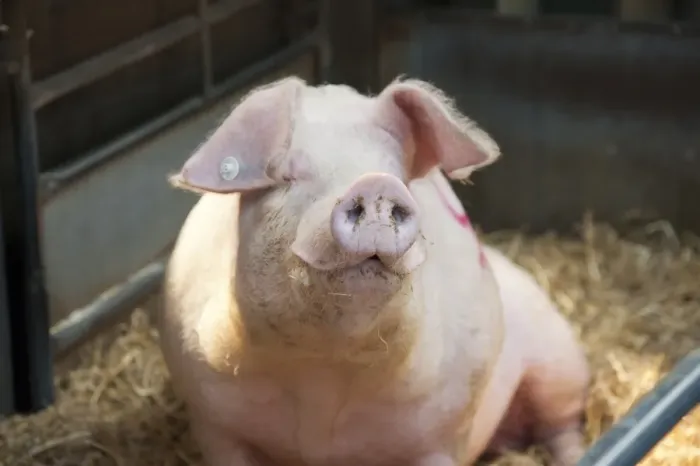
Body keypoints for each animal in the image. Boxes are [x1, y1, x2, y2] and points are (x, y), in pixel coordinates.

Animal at [159, 76, 590, 466]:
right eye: (288, 175)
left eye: (396, 172)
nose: (374, 184)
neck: (323, 377)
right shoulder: (213, 421)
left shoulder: (443, 433)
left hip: (560, 365)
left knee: (563, 427)